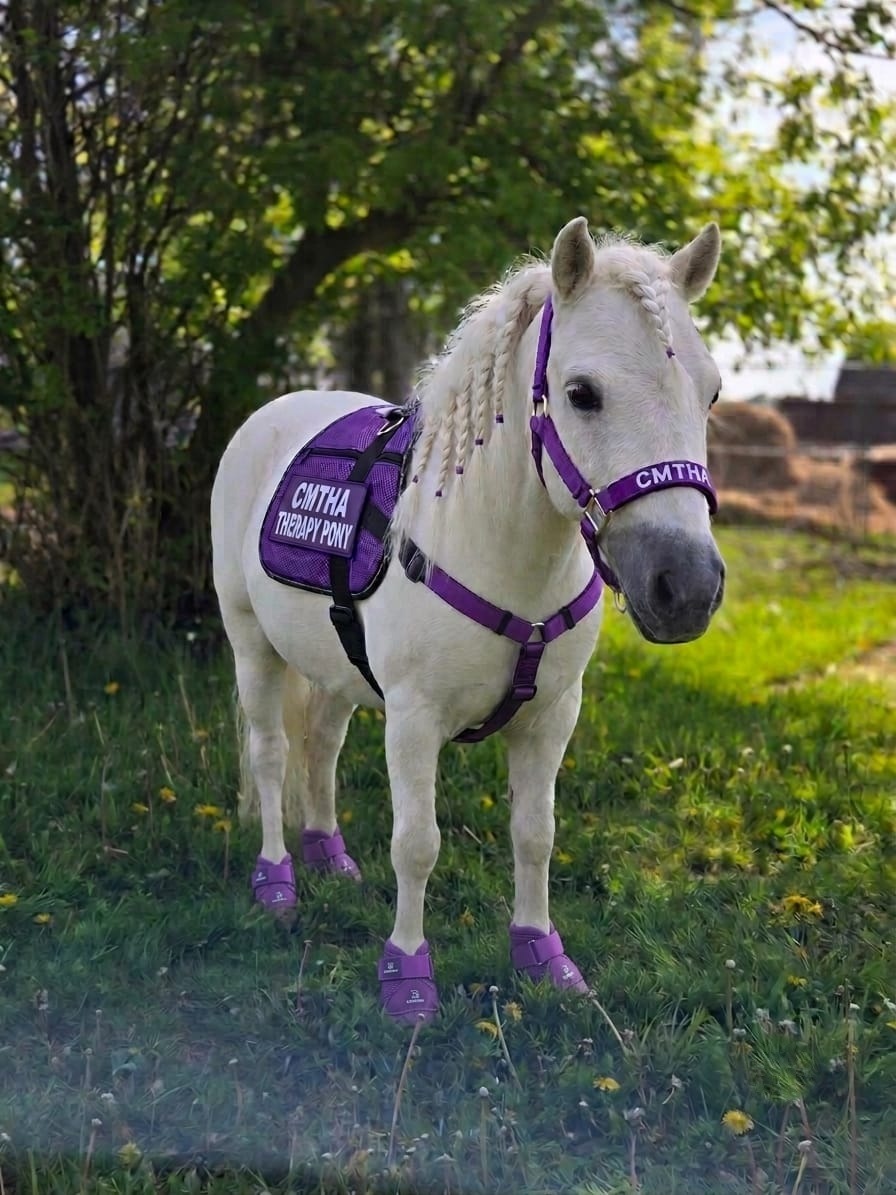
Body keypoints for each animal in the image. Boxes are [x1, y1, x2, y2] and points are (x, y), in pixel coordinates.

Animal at [211, 216, 726, 1024]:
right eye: (581, 393)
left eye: (711, 393)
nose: (688, 587)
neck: (493, 549)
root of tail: (273, 413)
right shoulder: (414, 719)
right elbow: (417, 844)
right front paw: (407, 975)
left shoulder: (553, 717)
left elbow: (536, 834)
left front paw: (543, 957)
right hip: (251, 644)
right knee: (270, 754)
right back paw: (278, 881)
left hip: (331, 666)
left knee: (320, 746)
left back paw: (330, 856)